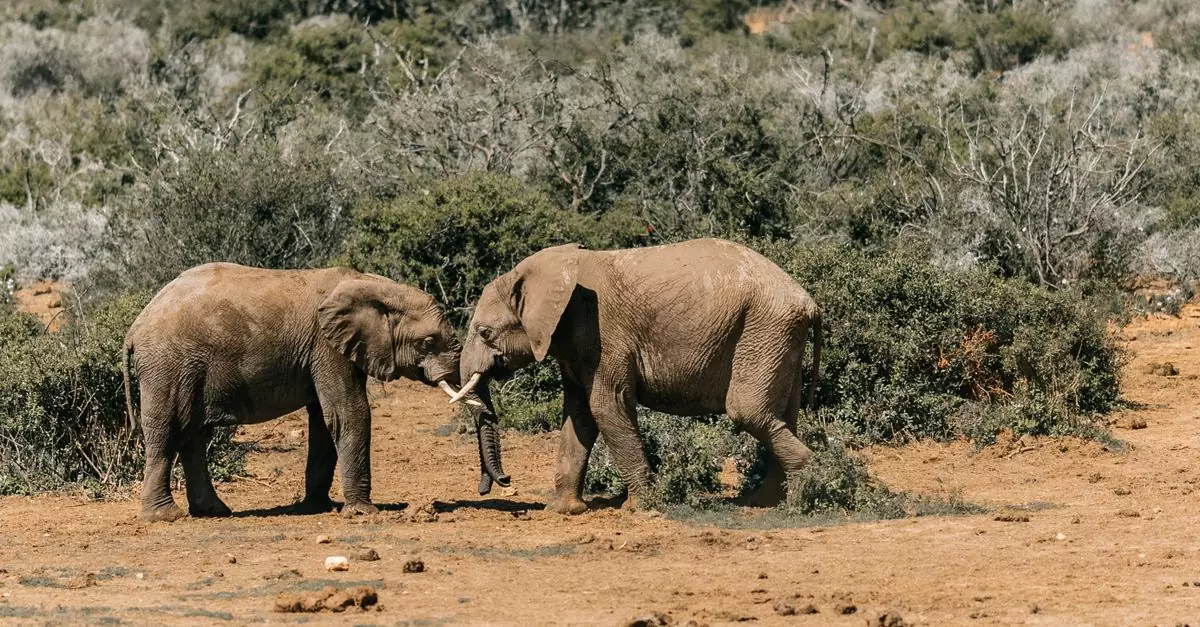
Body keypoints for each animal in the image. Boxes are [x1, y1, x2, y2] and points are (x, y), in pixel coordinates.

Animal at [123, 262, 508, 522]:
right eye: (428, 342)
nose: (499, 482)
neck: (372, 284)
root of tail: (135, 327)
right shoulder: (327, 347)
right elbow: (349, 412)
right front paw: (362, 512)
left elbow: (324, 421)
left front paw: (318, 507)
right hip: (169, 365)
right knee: (168, 430)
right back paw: (166, 516)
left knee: (194, 434)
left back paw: (215, 511)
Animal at [449, 238, 821, 514]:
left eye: (484, 332)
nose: (504, 481)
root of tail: (810, 302)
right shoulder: (573, 344)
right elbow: (579, 416)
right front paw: (562, 510)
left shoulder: (602, 335)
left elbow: (605, 407)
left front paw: (641, 507)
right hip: (778, 337)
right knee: (782, 416)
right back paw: (765, 502)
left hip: (763, 330)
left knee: (750, 412)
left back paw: (802, 497)